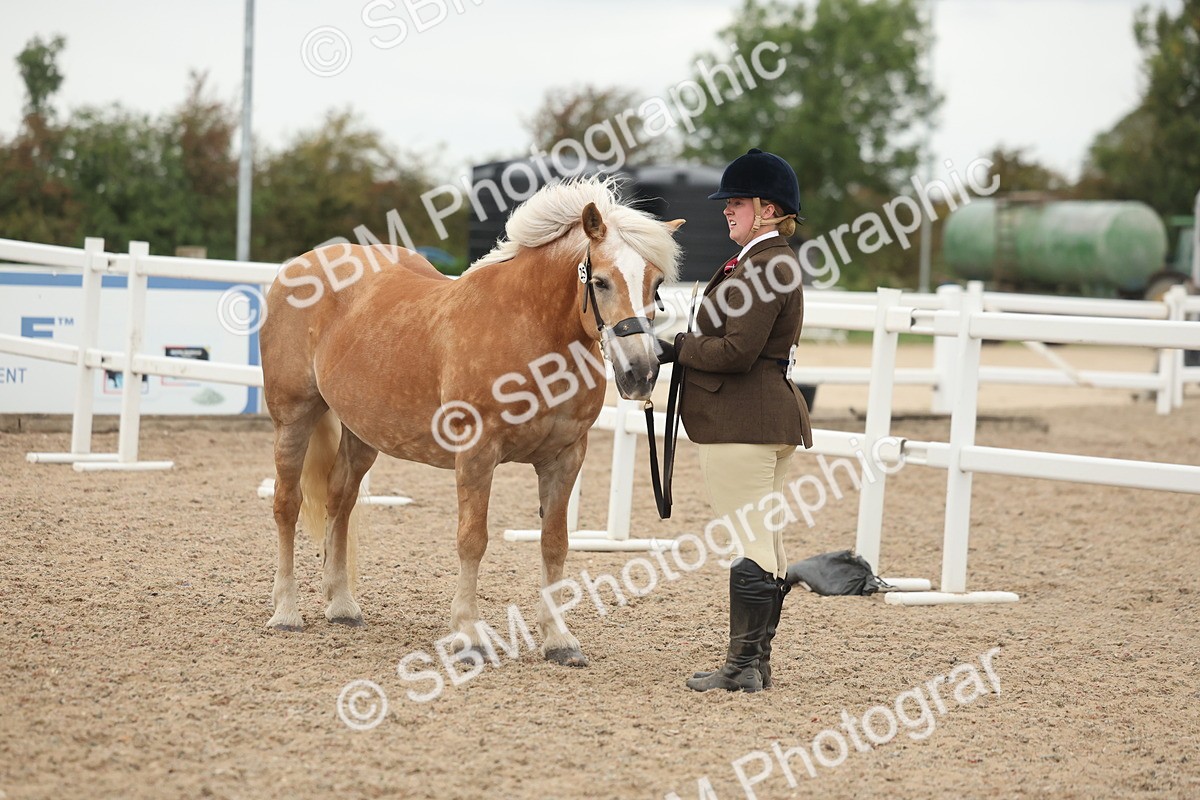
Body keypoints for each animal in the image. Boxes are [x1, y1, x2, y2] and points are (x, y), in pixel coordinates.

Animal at [259, 176, 683, 667]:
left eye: (657, 284)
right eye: (600, 281)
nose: (641, 373)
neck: (530, 329)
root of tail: (300, 266)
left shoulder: (565, 457)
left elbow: (555, 543)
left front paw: (558, 639)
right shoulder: (478, 454)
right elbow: (472, 539)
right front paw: (468, 634)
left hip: (362, 433)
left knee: (339, 501)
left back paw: (342, 605)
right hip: (293, 417)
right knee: (286, 504)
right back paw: (286, 612)